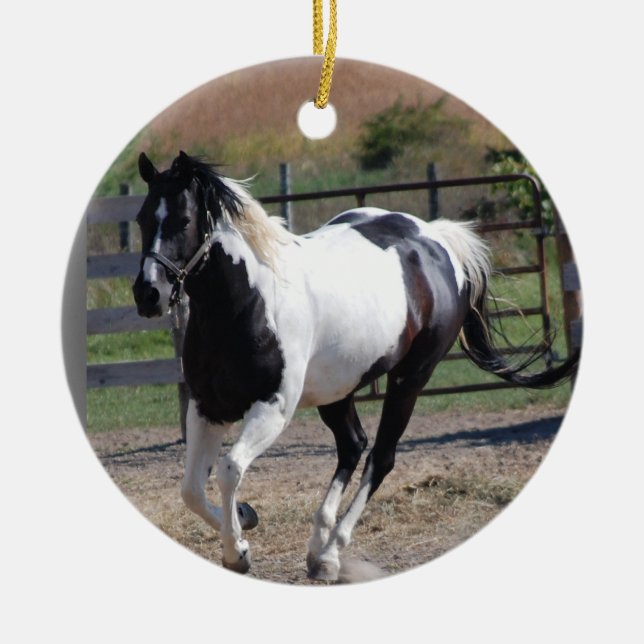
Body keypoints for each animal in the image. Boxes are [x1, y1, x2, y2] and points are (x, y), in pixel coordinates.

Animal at [132, 151, 579, 581]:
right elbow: (191, 489)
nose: (147, 294)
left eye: (183, 220)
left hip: (409, 379)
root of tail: (435, 239)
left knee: (380, 457)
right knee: (353, 445)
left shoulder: (273, 407)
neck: (247, 302)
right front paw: (245, 518)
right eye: (141, 219)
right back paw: (317, 548)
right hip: (338, 388)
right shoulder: (208, 406)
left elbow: (228, 469)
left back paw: (331, 555)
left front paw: (237, 552)